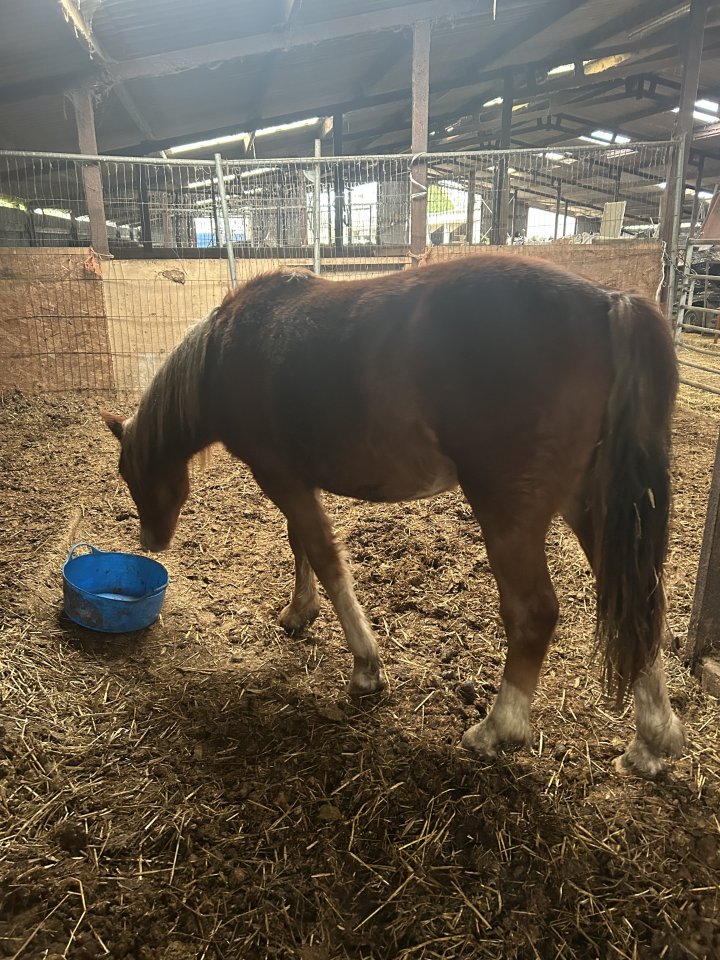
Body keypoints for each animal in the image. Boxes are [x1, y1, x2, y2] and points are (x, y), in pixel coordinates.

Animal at [102, 254, 686, 778]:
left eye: (129, 471)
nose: (151, 540)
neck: (225, 352)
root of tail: (607, 303)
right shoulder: (295, 482)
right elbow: (299, 543)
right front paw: (299, 612)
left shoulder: (281, 478)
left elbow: (324, 556)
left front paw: (365, 667)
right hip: (592, 506)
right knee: (635, 603)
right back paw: (652, 742)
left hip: (509, 517)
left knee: (534, 613)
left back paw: (497, 728)